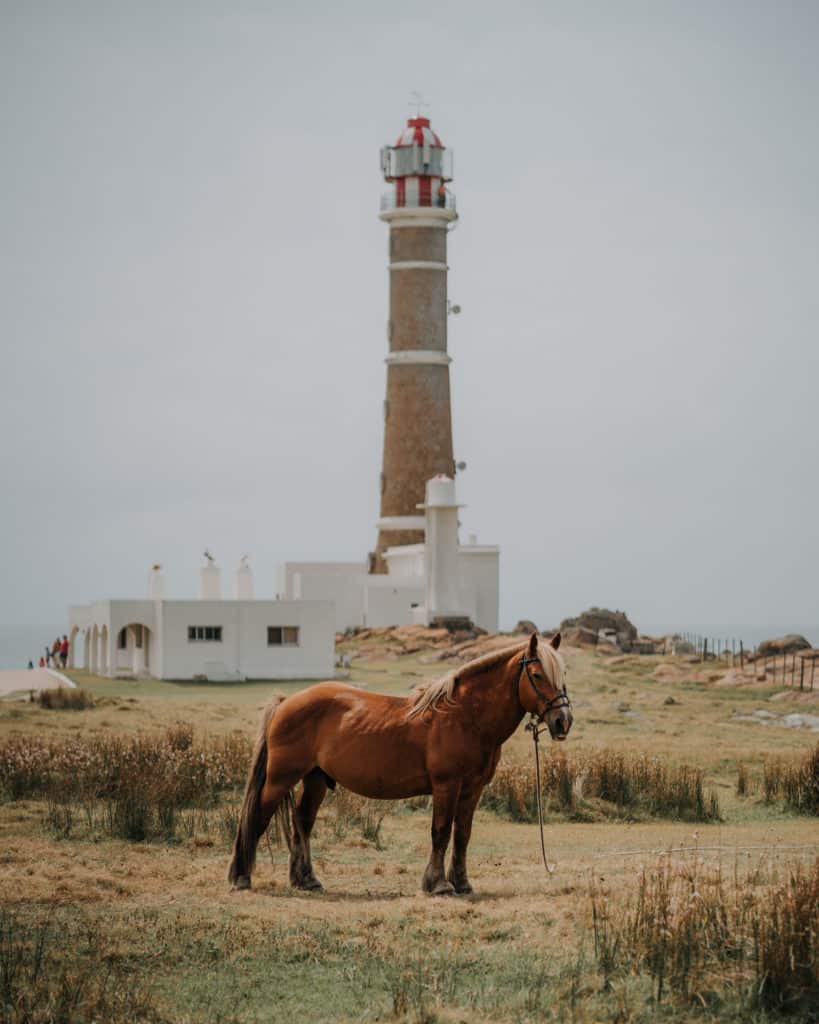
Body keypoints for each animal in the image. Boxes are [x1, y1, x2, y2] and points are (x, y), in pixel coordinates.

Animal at [225, 630, 569, 897]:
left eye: (562, 676)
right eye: (537, 675)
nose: (562, 721)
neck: (465, 717)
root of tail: (286, 702)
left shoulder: (472, 790)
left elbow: (462, 835)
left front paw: (461, 883)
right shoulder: (446, 787)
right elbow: (441, 831)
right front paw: (438, 884)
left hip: (315, 779)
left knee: (303, 821)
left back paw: (306, 879)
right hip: (280, 778)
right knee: (257, 817)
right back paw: (242, 877)